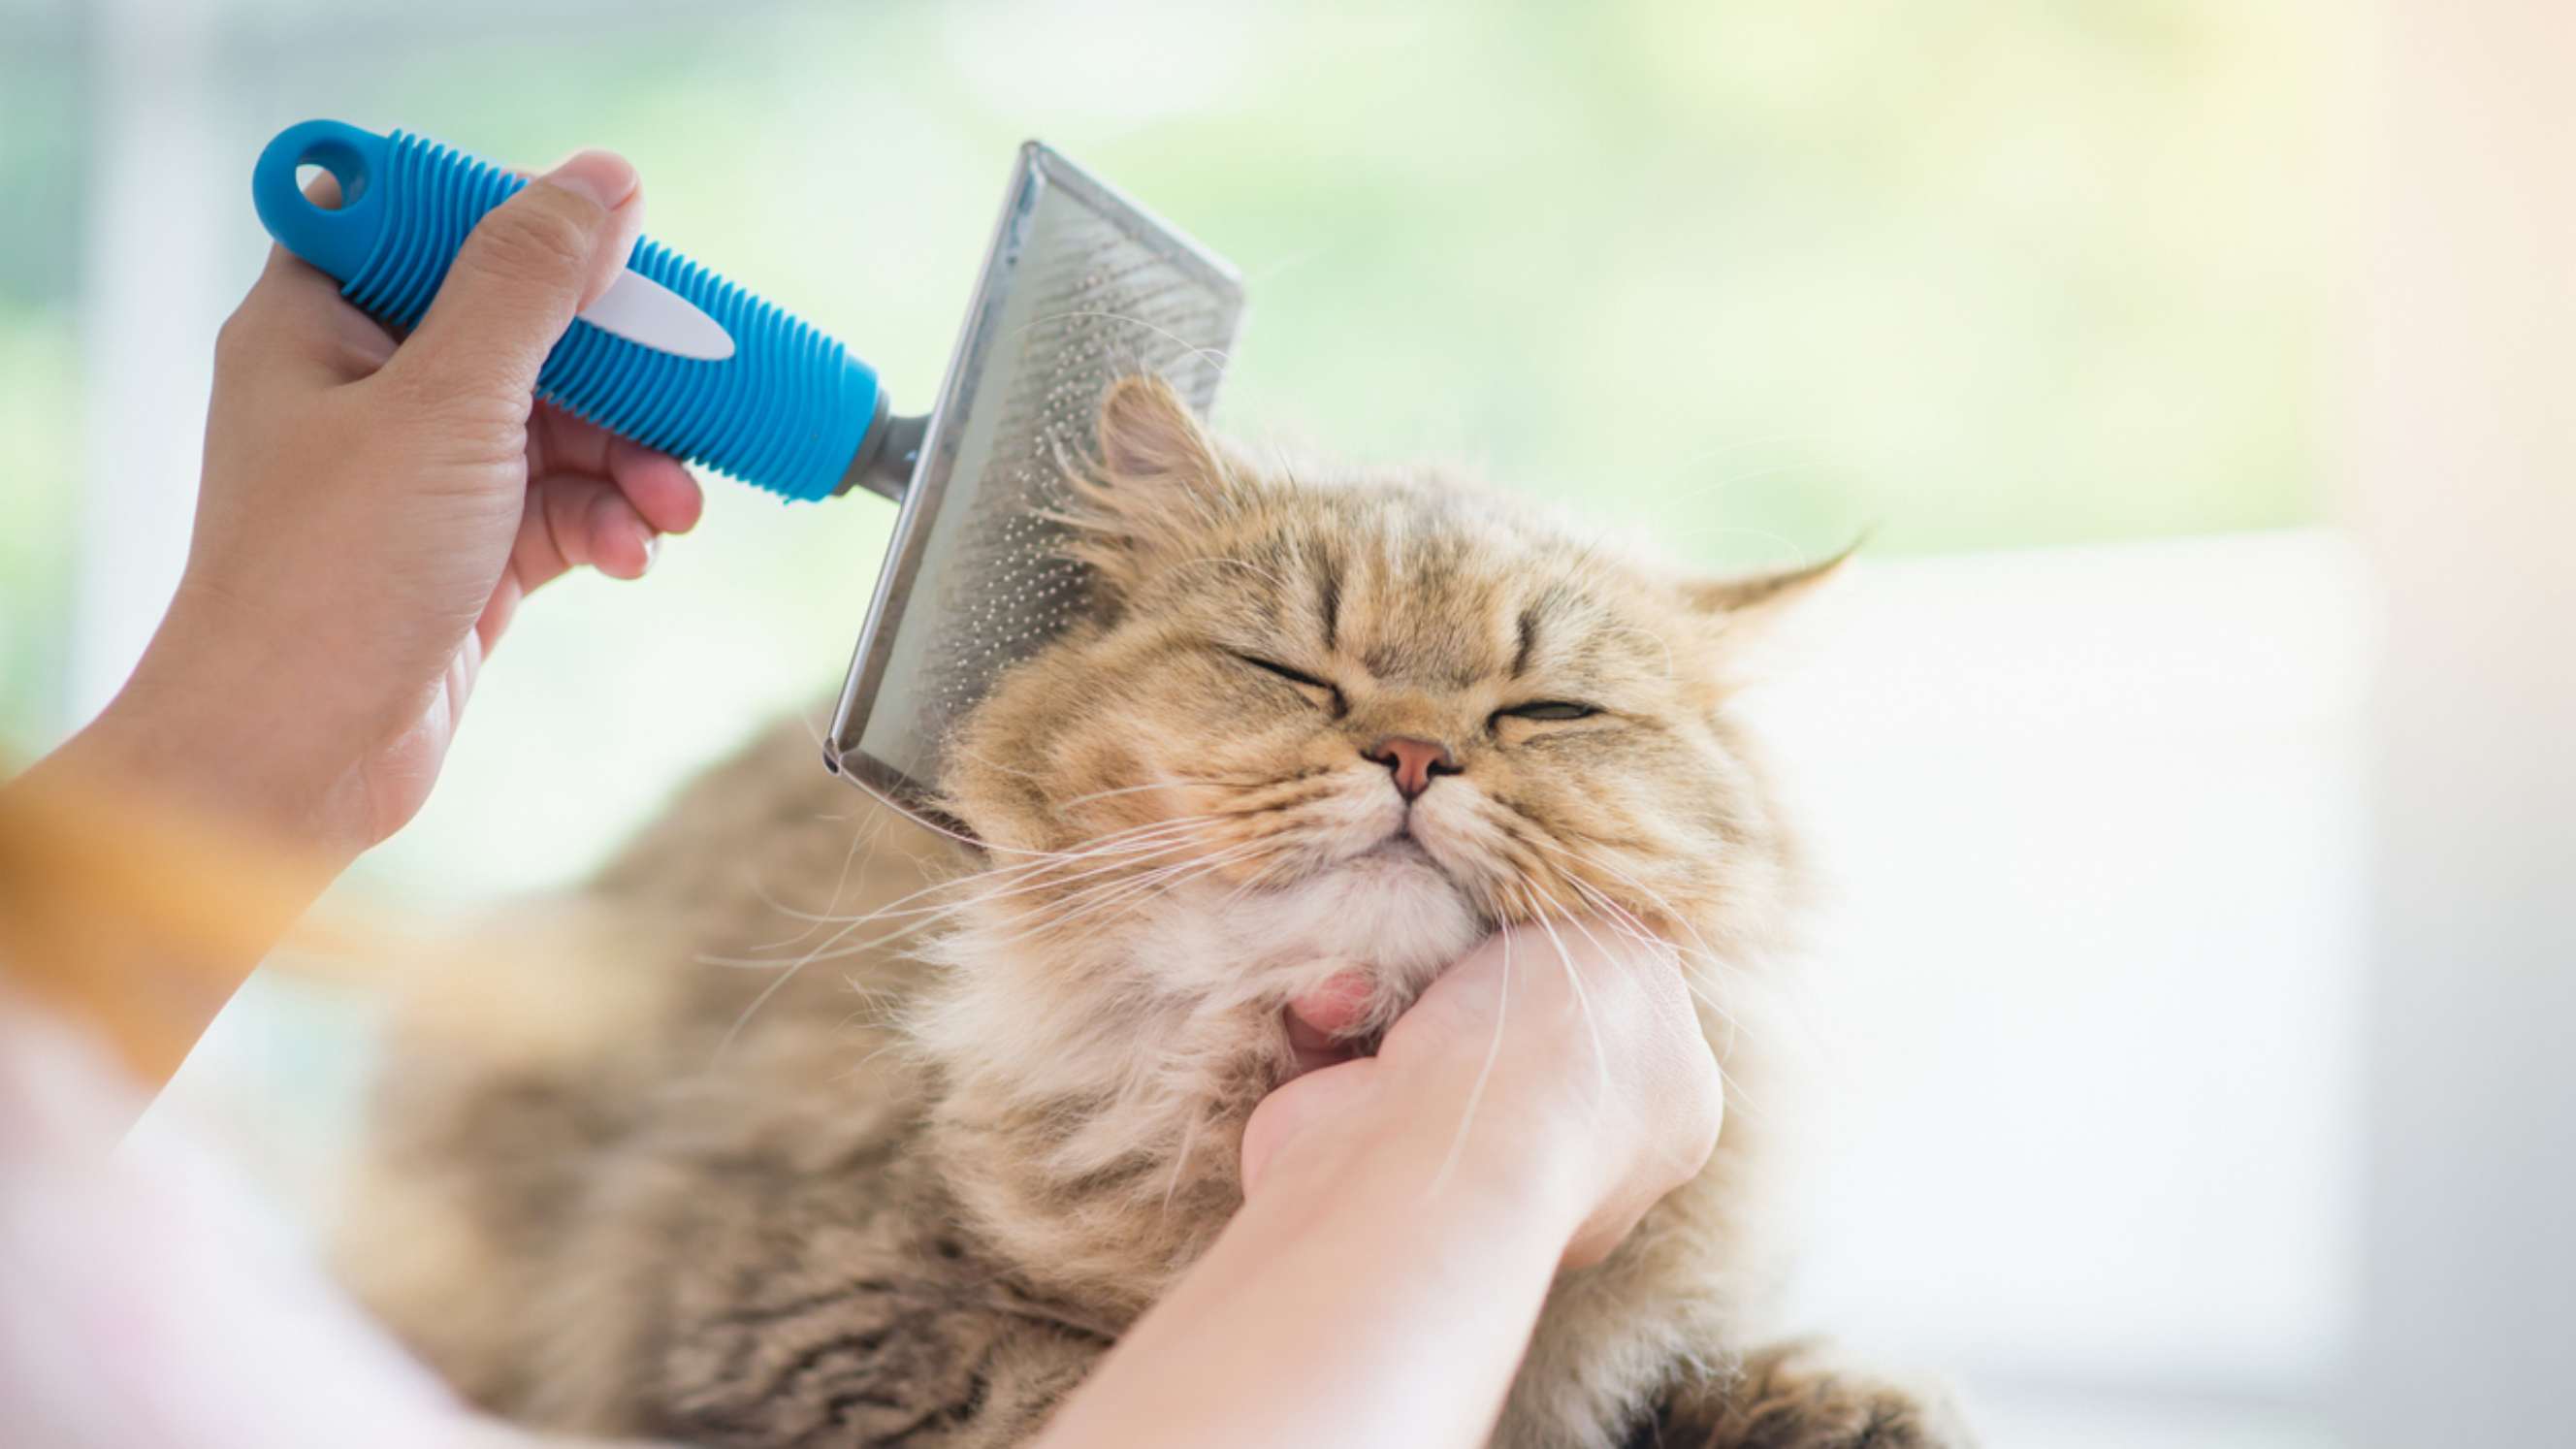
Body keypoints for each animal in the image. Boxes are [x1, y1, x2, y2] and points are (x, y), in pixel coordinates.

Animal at [332, 378, 1957, 1433]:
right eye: (1296, 672)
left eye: (1544, 711)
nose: (1413, 756)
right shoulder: (796, 1309)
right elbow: (1037, 1385)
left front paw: (1819, 1403)